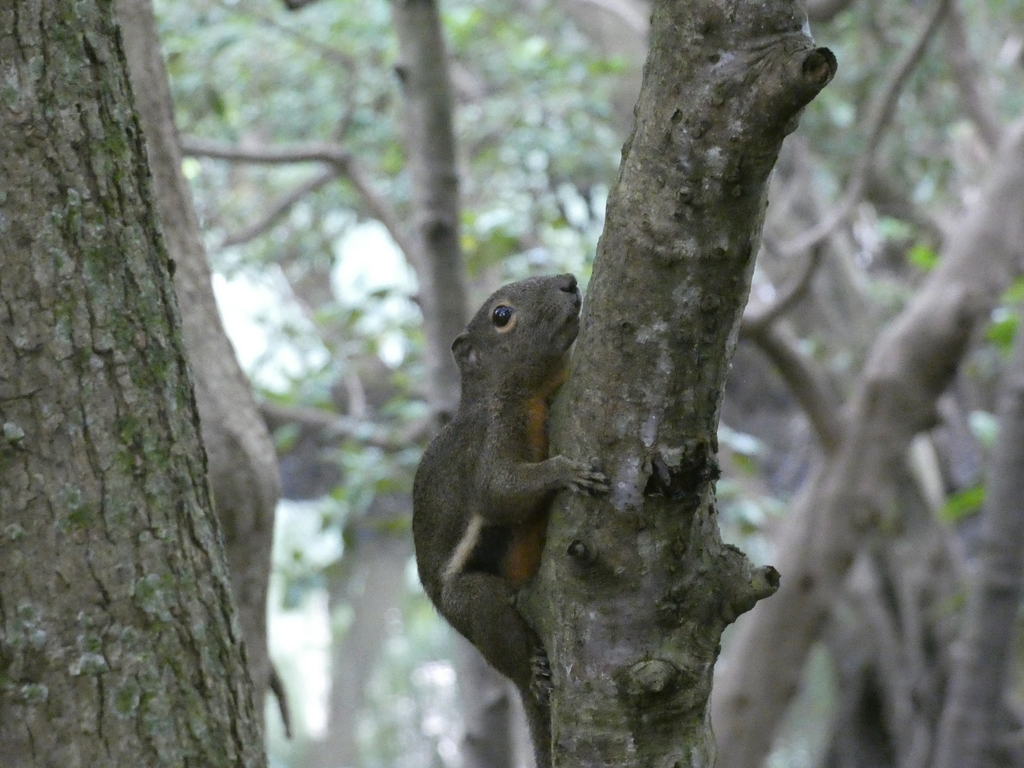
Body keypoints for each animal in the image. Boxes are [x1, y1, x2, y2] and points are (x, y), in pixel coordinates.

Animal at [413, 273, 608, 768]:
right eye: (501, 316)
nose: (569, 281)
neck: (527, 391)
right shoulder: (489, 441)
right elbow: (499, 494)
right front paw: (565, 471)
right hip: (474, 602)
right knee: (498, 630)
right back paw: (530, 669)